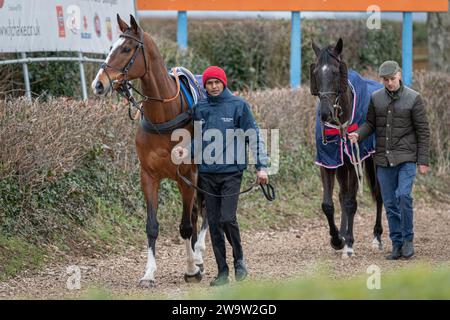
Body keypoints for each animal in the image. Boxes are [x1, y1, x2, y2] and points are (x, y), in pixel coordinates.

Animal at [91, 14, 207, 288]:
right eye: (110, 46)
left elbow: (186, 225)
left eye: (126, 49)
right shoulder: (149, 176)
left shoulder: (188, 175)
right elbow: (152, 226)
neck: (164, 115)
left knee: (203, 211)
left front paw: (190, 268)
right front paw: (149, 273)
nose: (98, 84)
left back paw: (198, 256)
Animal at [310, 38, 384, 258]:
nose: (325, 113)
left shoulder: (353, 162)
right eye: (315, 71)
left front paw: (349, 243)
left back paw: (377, 237)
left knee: (379, 195)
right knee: (342, 196)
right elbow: (329, 204)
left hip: (374, 160)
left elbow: (351, 202)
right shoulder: (329, 161)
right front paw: (337, 239)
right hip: (342, 164)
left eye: (336, 72)